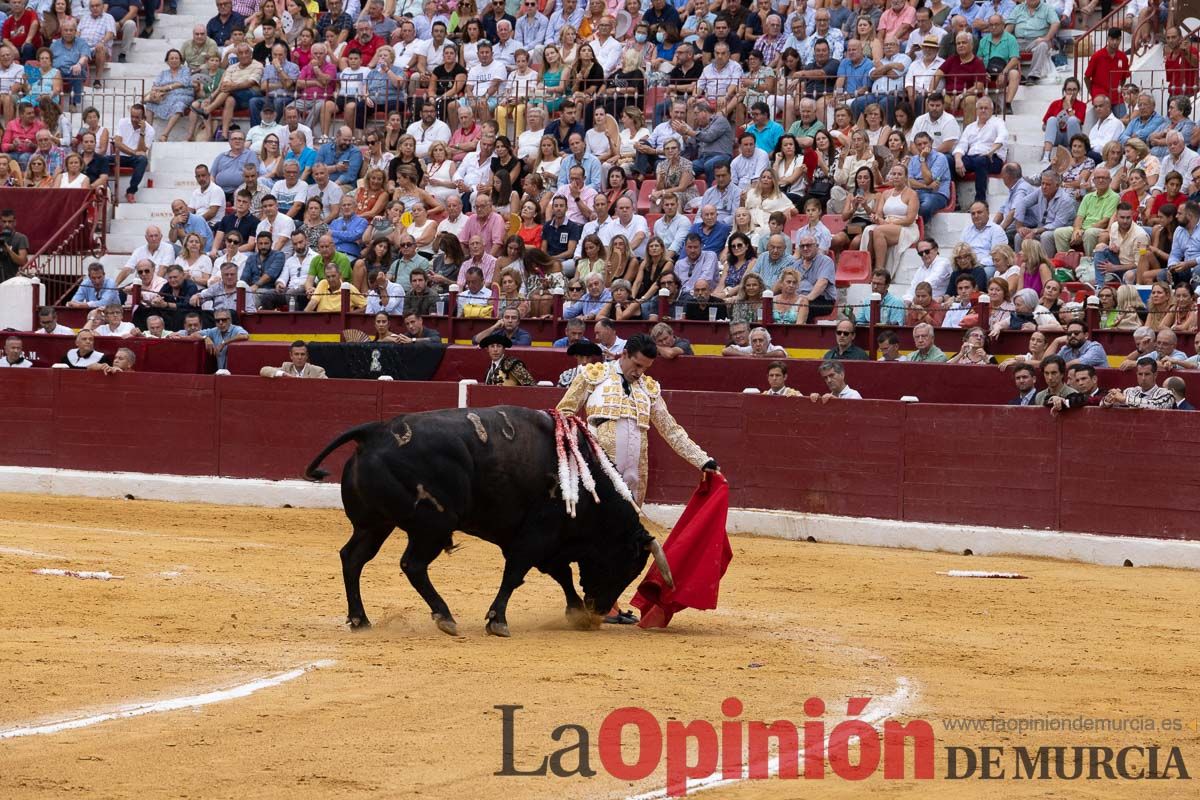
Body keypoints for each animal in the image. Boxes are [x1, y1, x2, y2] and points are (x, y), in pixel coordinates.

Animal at [302, 407, 676, 638]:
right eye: (628, 565)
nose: (597, 611)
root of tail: (374, 431)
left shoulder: (544, 540)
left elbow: (561, 574)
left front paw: (574, 612)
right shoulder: (538, 534)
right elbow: (517, 573)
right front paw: (498, 621)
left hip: (375, 524)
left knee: (353, 558)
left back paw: (360, 619)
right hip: (433, 525)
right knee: (412, 564)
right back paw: (445, 617)